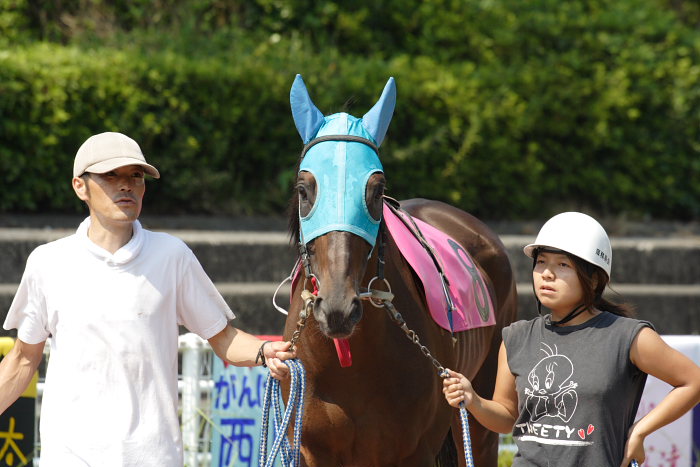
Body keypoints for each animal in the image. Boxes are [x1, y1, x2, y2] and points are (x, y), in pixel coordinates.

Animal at [280, 75, 520, 466]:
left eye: (377, 191)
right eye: (304, 190)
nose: (338, 309)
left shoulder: (414, 450)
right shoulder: (311, 451)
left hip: (481, 413)